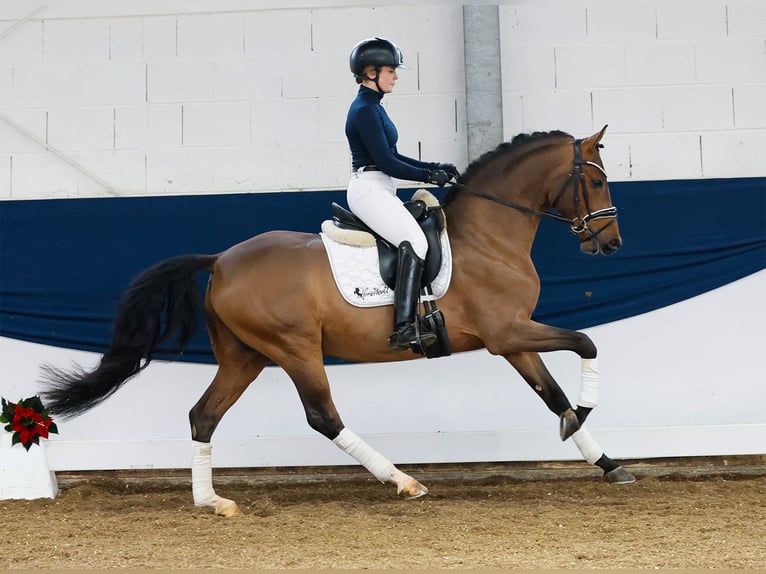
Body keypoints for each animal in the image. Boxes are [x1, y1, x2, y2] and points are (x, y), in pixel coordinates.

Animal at [39, 125, 636, 516]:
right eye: (598, 182)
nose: (610, 244)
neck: (490, 236)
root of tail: (221, 259)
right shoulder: (506, 332)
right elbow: (586, 344)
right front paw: (583, 416)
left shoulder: (513, 337)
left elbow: (551, 393)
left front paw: (607, 461)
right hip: (295, 349)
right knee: (323, 416)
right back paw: (403, 482)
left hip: (244, 355)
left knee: (203, 415)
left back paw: (212, 501)